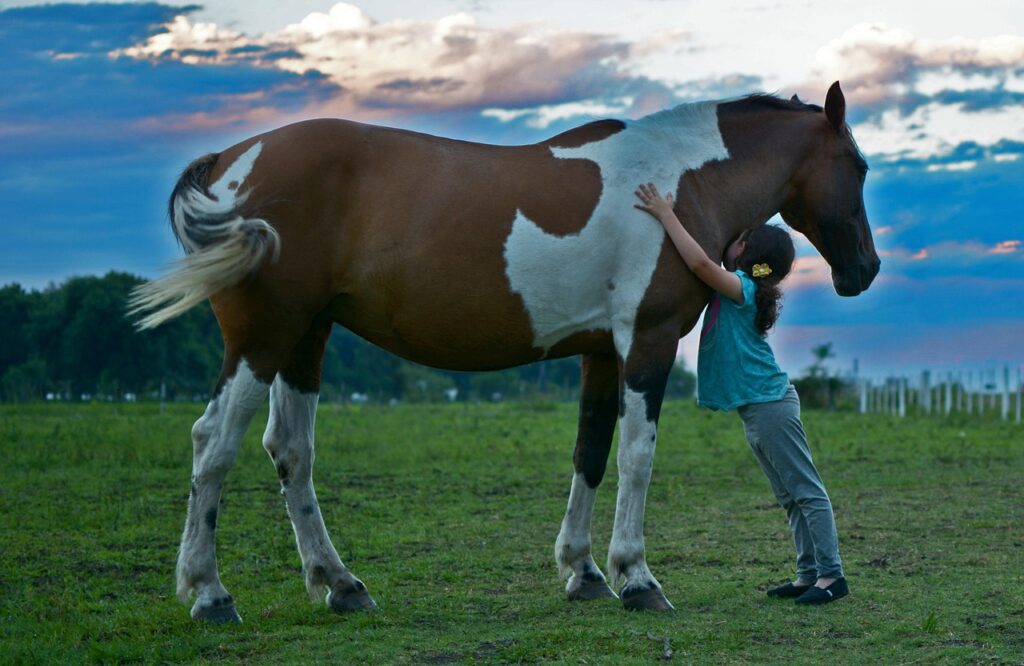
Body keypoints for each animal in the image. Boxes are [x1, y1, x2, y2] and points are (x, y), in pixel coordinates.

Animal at [131, 81, 879, 622]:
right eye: (861, 166)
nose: (864, 271)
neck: (679, 182)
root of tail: (233, 161)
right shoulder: (648, 340)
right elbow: (637, 458)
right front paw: (637, 578)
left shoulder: (600, 352)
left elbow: (591, 453)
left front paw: (583, 573)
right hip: (263, 337)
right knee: (214, 443)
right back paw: (210, 594)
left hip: (304, 338)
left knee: (290, 452)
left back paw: (341, 585)